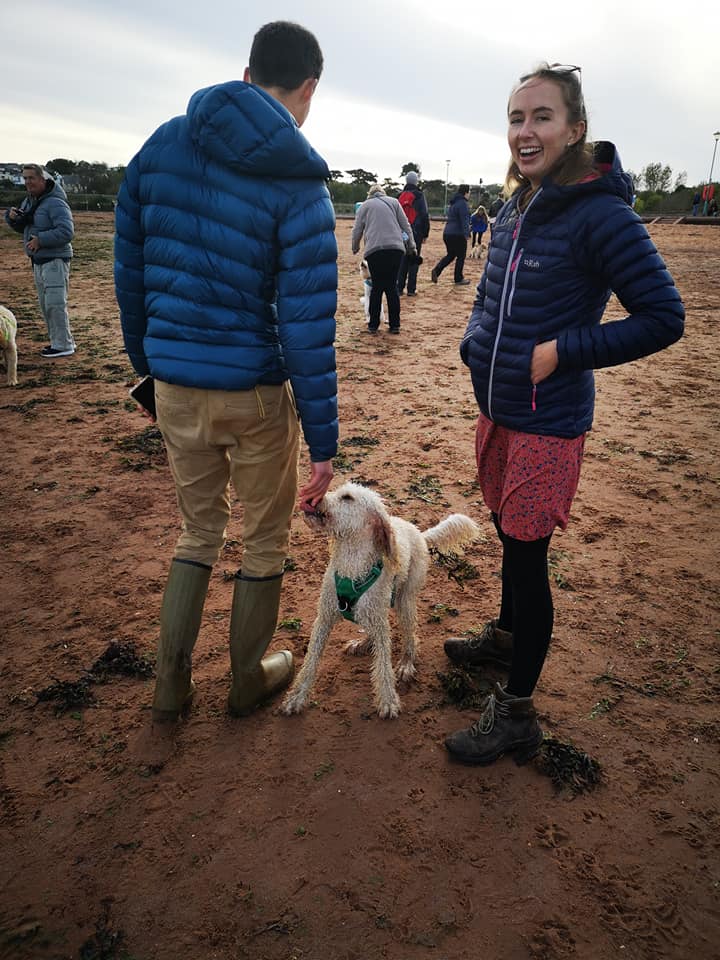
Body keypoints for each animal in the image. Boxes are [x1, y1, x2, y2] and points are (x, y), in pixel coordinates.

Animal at [284, 484, 480, 716]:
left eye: (347, 497)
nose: (310, 498)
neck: (353, 562)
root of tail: (418, 533)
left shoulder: (379, 622)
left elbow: (383, 665)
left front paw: (388, 700)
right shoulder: (324, 617)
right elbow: (311, 661)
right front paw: (296, 697)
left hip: (404, 600)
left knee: (410, 637)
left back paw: (406, 663)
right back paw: (363, 643)